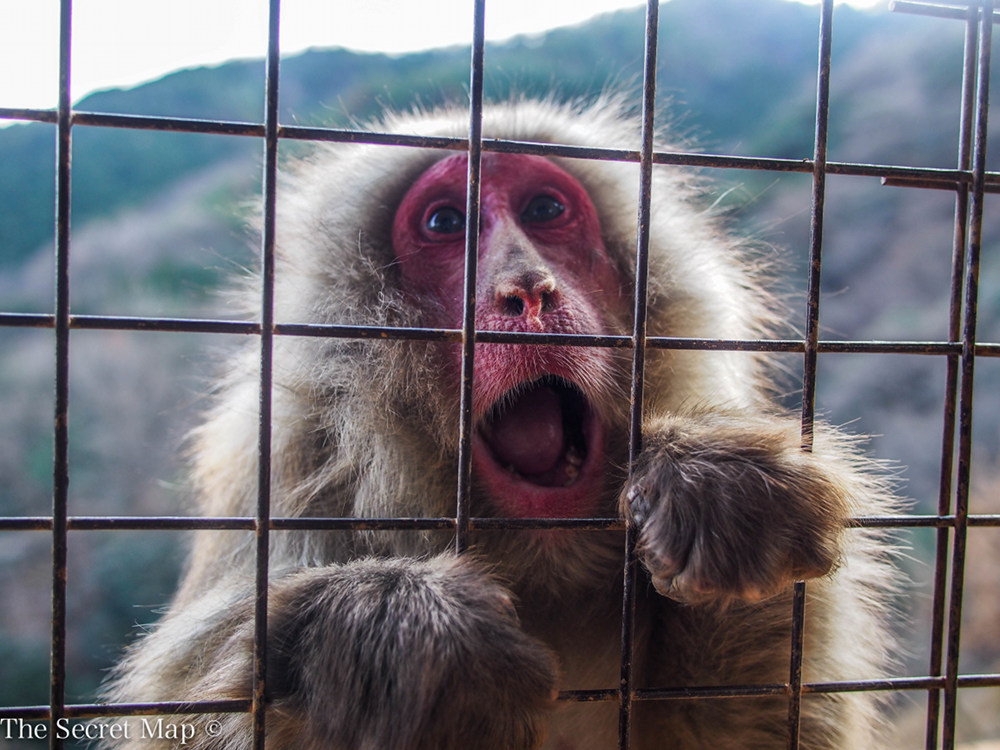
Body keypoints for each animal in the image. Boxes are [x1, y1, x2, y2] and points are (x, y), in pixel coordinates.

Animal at [101, 98, 899, 750]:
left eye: (545, 209)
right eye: (445, 223)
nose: (528, 292)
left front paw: (720, 486)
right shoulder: (287, 471)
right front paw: (394, 637)